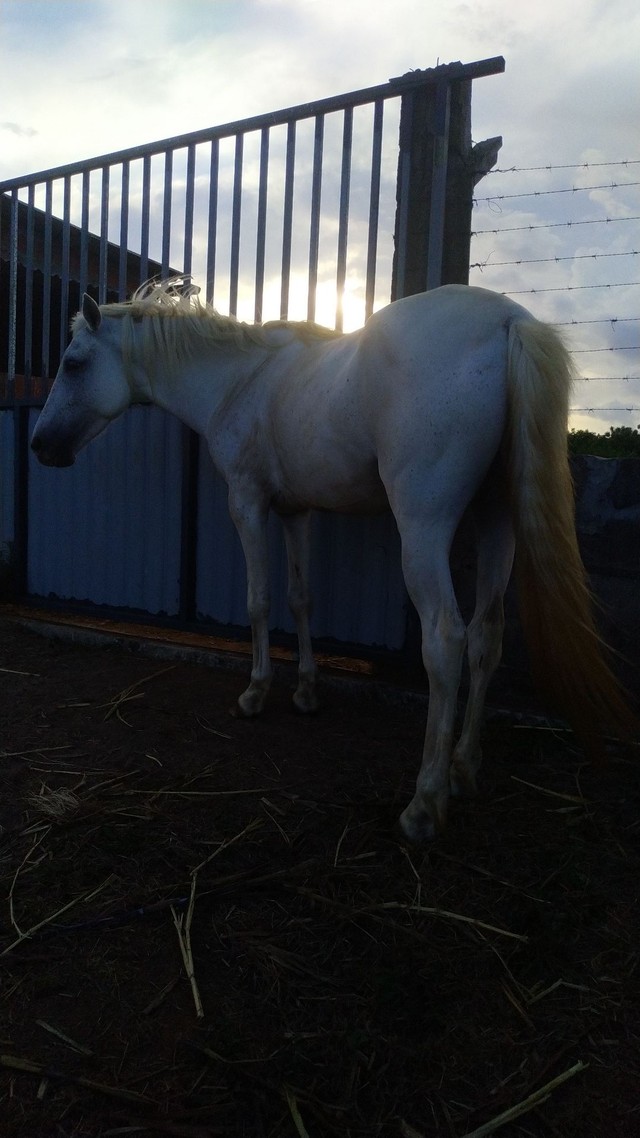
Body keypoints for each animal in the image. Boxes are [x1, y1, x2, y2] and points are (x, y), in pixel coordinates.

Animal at [31, 279, 633, 842]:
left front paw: (256, 692)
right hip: (496, 521)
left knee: (446, 640)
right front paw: (306, 690)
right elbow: (300, 598)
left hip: (424, 526)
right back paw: (464, 767)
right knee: (487, 636)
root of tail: (508, 320)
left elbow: (259, 600)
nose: (41, 446)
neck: (240, 380)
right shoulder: (296, 511)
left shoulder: (247, 502)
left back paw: (425, 803)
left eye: (72, 363)